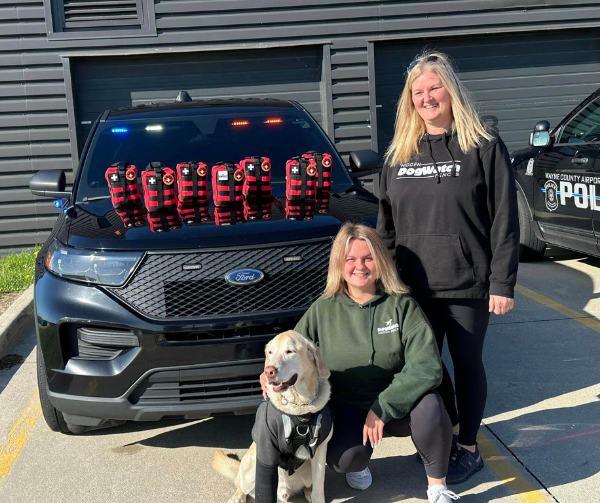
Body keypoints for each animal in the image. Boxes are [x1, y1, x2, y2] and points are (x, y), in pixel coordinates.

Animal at [212, 330, 332, 503]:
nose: (269, 371)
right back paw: (238, 496)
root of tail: (284, 491)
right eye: (270, 352)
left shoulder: (320, 453)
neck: (299, 409)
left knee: (308, 486)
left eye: (290, 351)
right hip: (249, 469)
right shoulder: (267, 451)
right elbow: (264, 491)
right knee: (241, 485)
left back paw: (308, 491)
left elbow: (318, 489)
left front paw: (315, 496)